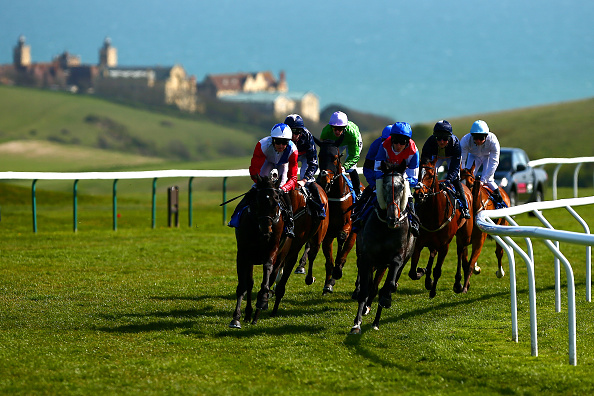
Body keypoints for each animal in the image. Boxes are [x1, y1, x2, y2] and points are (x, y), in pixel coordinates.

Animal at [312, 136, 358, 294]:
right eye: (320, 156)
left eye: (335, 157)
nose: (324, 181)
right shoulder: (328, 229)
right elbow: (328, 258)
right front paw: (329, 282)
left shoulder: (348, 224)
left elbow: (342, 237)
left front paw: (338, 270)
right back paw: (329, 282)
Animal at [350, 161, 414, 334]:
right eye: (384, 185)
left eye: (401, 186)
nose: (393, 217)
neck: (386, 228)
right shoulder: (367, 258)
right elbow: (365, 290)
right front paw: (356, 323)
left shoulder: (397, 258)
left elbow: (388, 286)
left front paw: (385, 300)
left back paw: (376, 319)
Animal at [408, 157, 472, 296]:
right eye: (418, 173)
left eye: (431, 175)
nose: (418, 194)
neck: (433, 213)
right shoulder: (419, 243)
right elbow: (412, 272)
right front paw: (423, 272)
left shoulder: (444, 245)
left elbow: (437, 270)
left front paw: (433, 291)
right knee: (432, 253)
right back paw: (428, 279)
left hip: (463, 234)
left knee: (460, 251)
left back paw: (458, 283)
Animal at [458, 162, 508, 292]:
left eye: (471, 184)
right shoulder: (463, 238)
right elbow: (466, 262)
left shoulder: (479, 240)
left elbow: (470, 264)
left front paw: (464, 288)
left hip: (501, 226)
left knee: (499, 251)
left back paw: (500, 272)